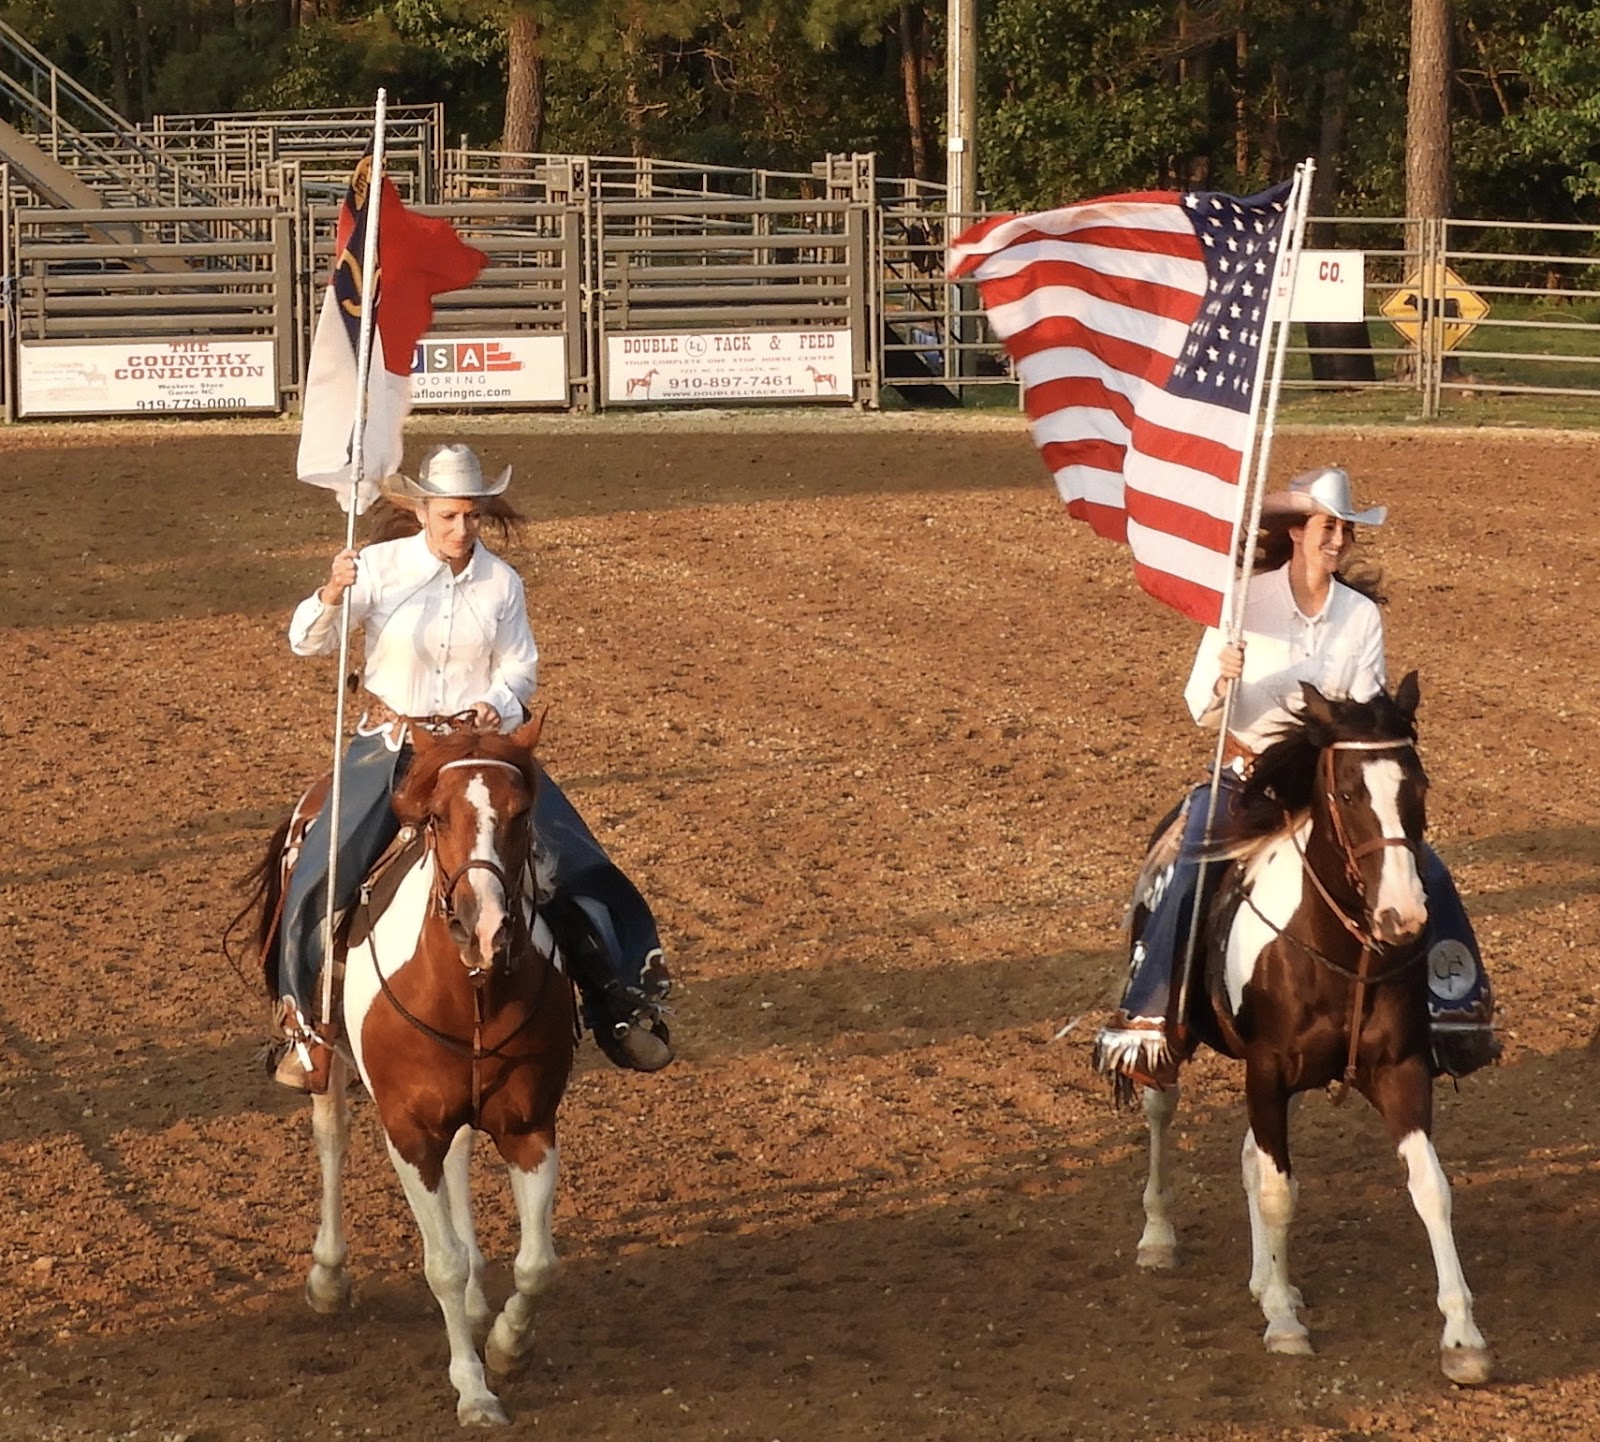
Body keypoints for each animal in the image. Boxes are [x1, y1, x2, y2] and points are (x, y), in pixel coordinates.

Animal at [278, 726, 579, 1421]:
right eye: (439, 817)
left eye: (521, 813)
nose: (483, 928)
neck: (468, 995)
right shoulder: (410, 1132)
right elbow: (441, 1262)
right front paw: (473, 1389)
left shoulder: (529, 1126)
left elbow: (537, 1264)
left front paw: (508, 1343)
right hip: (324, 1053)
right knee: (332, 1135)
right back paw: (328, 1277)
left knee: (462, 1158)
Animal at [1126, 675, 1484, 1382]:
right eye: (1346, 792)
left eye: (1418, 786)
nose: (1403, 915)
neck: (1336, 953)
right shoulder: (1267, 1071)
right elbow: (1278, 1192)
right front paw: (1285, 1328)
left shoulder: (1399, 1070)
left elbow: (1430, 1188)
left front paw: (1463, 1339)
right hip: (1169, 1034)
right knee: (1161, 1105)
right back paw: (1160, 1236)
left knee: (1250, 1155)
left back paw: (1271, 1282)